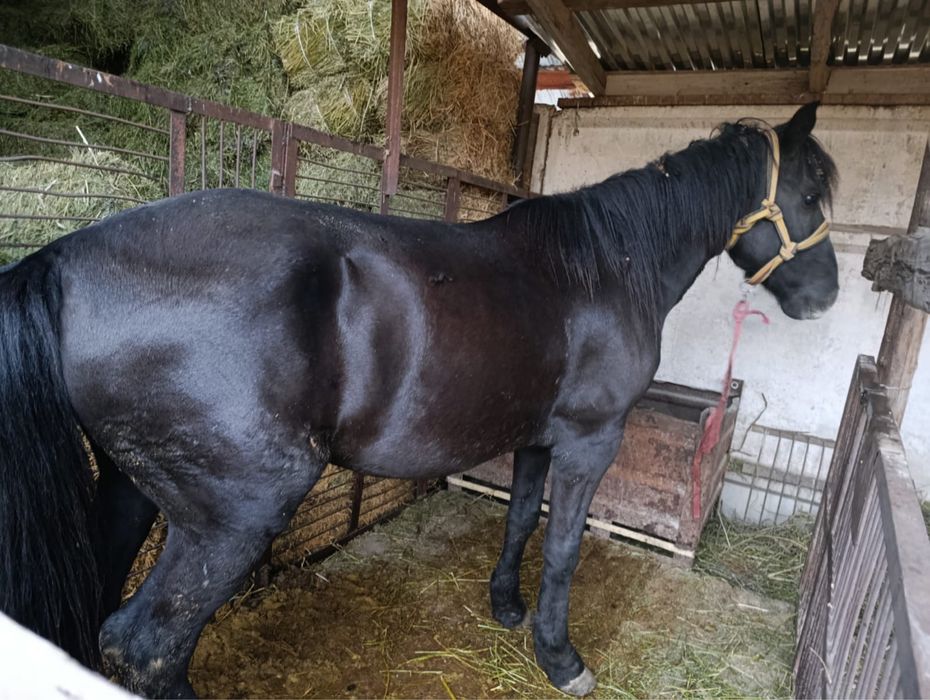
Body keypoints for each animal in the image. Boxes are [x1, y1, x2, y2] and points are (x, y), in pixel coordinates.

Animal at [0, 102, 838, 697]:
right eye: (806, 191)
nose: (825, 297)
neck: (601, 268)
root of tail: (64, 258)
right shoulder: (591, 438)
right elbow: (564, 547)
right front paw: (560, 657)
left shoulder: (536, 437)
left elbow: (519, 520)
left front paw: (507, 610)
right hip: (236, 514)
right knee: (146, 647)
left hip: (130, 489)